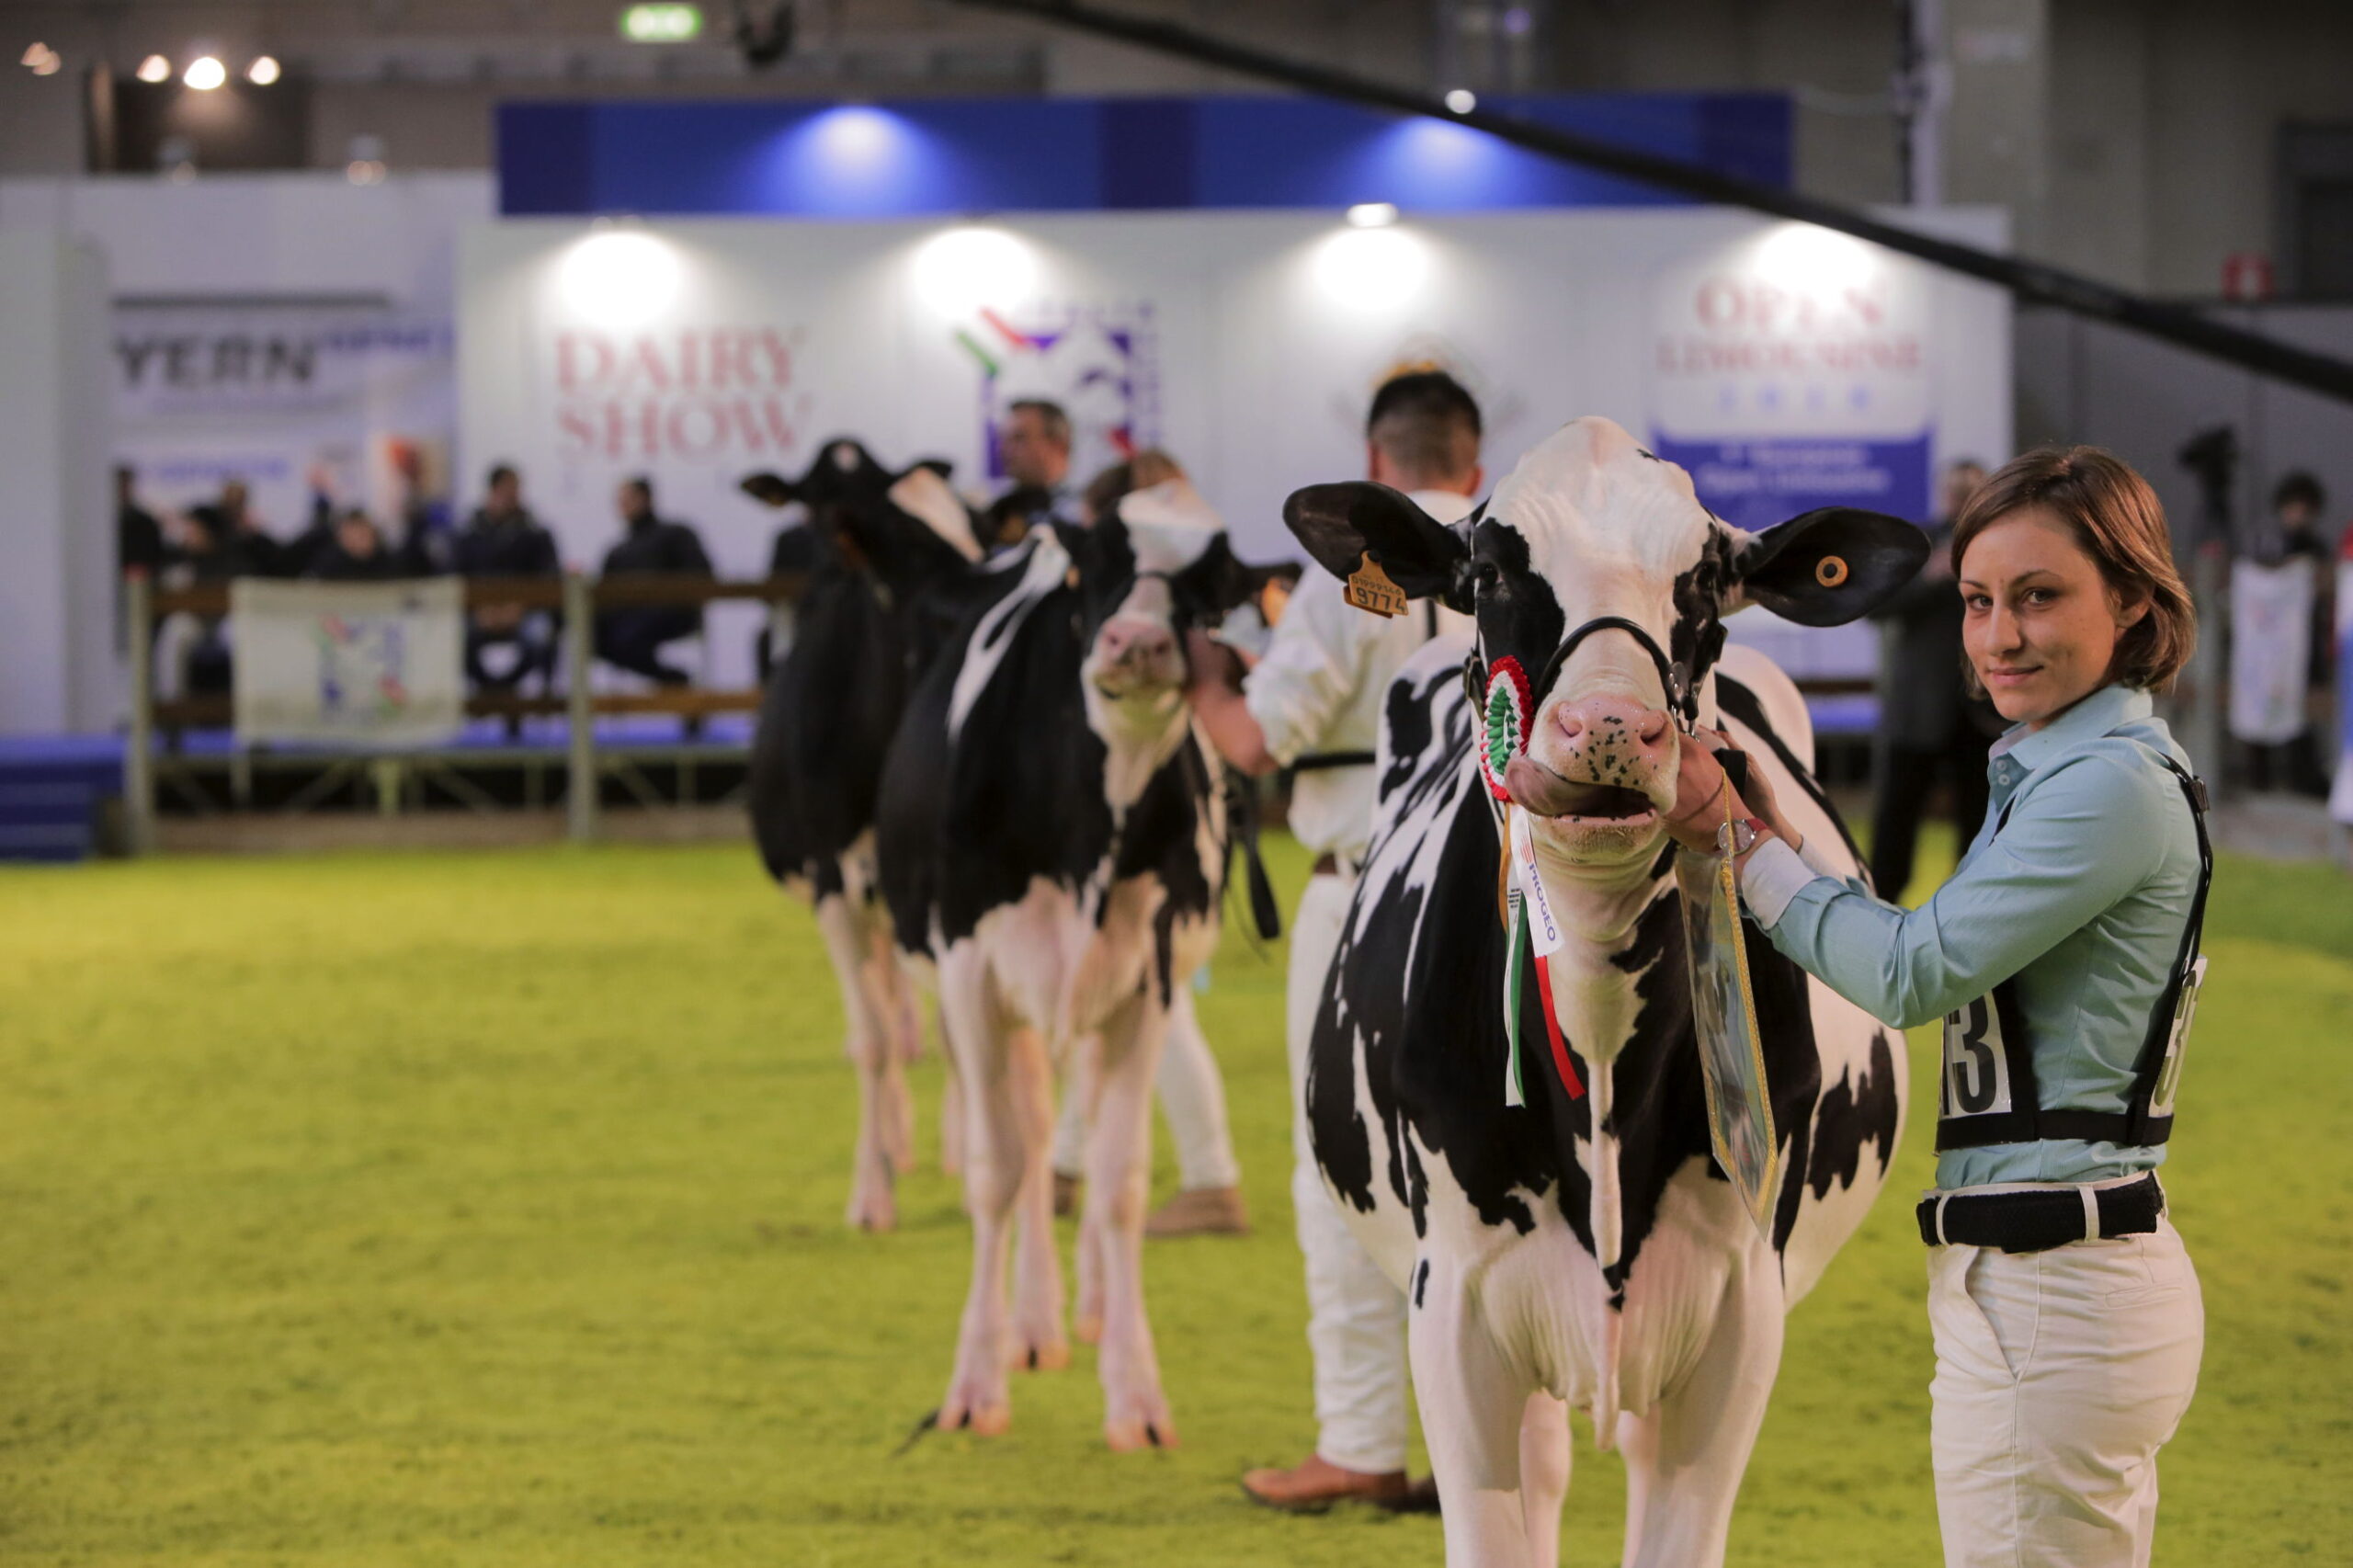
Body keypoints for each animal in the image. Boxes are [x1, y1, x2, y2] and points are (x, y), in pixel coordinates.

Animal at [743, 433, 983, 1224]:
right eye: (809, 502)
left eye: (976, 538)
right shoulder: (831, 882)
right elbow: (873, 1040)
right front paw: (871, 1194)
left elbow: (956, 1033)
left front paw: (968, 1163)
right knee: (879, 1007)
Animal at [875, 475, 1261, 1440]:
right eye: (1099, 564)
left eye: (1211, 587)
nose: (1138, 643)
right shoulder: (970, 973)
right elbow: (996, 1174)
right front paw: (975, 1385)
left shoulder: (1146, 982)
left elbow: (1121, 1181)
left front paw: (1136, 1395)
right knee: (1033, 1135)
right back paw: (1034, 1325)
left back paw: (1084, 1310)